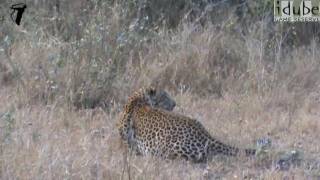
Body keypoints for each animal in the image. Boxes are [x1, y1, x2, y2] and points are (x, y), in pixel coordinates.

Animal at [116, 86, 256, 162]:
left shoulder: (125, 142)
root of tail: (205, 135)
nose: (174, 104)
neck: (138, 98)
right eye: (165, 96)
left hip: (169, 147)